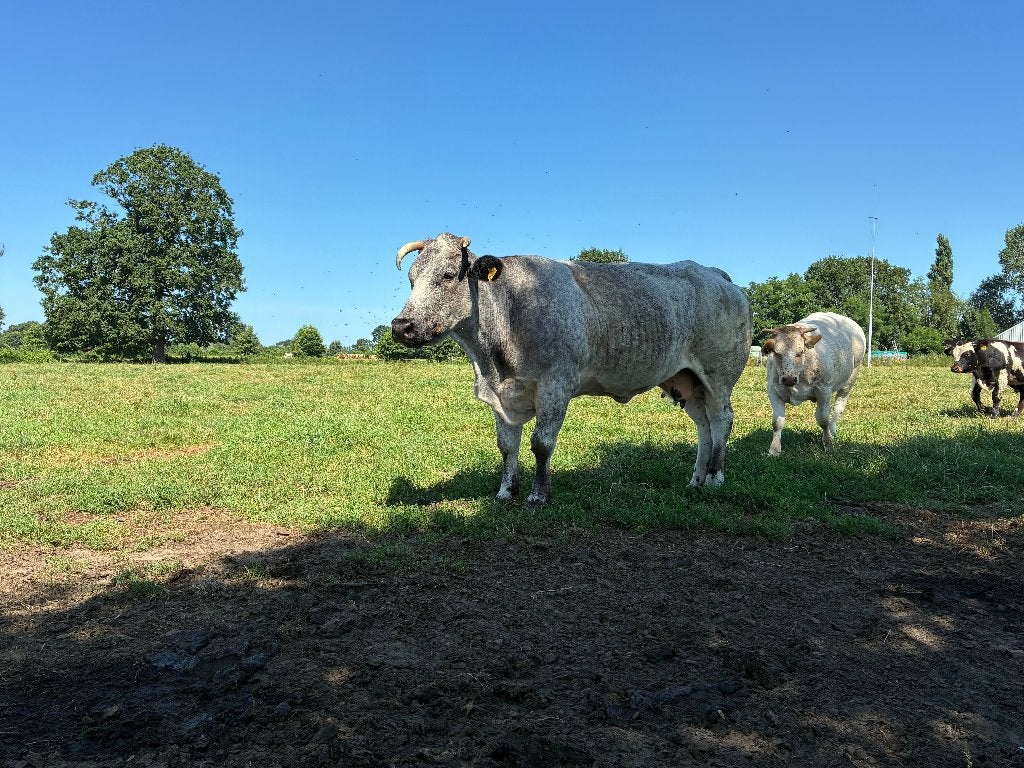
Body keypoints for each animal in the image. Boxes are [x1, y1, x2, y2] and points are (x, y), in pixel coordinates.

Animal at [391, 232, 752, 505]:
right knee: (704, 426)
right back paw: (696, 480)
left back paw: (715, 478)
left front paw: (538, 496)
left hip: (719, 375)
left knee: (722, 420)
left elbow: (541, 443)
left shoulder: (556, 386)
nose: (401, 326)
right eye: (411, 280)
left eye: (448, 275)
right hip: (686, 380)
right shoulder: (502, 396)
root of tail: (714, 274)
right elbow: (507, 445)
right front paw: (506, 492)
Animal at [760, 312, 866, 456]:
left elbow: (823, 419)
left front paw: (828, 443)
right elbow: (777, 422)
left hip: (850, 378)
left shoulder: (824, 390)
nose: (788, 379)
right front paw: (774, 449)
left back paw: (832, 430)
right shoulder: (773, 390)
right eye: (777, 353)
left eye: (800, 352)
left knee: (839, 406)